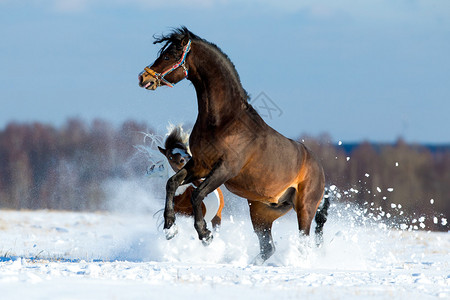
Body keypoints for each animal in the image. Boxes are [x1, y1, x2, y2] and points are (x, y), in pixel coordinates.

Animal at [139, 26, 328, 264]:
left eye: (169, 55)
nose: (143, 77)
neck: (224, 121)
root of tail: (320, 168)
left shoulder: (225, 169)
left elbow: (197, 194)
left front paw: (205, 235)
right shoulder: (199, 165)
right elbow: (172, 183)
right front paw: (170, 228)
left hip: (304, 208)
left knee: (303, 242)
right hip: (262, 212)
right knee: (268, 247)